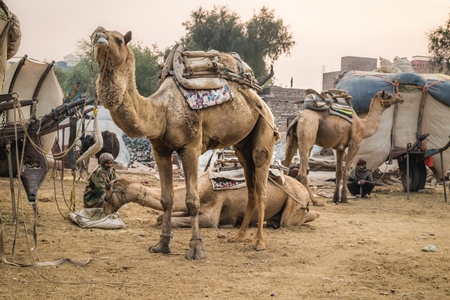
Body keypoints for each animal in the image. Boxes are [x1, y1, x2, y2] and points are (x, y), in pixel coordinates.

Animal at [92, 26, 282, 260]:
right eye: (95, 35)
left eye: (118, 39)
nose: (99, 35)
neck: (162, 111)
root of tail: (256, 94)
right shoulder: (160, 150)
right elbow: (167, 199)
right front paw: (161, 245)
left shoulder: (190, 148)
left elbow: (192, 201)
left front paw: (197, 248)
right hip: (242, 145)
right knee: (250, 181)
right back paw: (238, 236)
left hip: (265, 129)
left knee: (261, 176)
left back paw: (259, 242)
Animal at [104, 172, 320, 229]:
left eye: (107, 192)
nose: (105, 209)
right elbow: (161, 218)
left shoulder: (210, 213)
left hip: (296, 201)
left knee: (291, 220)